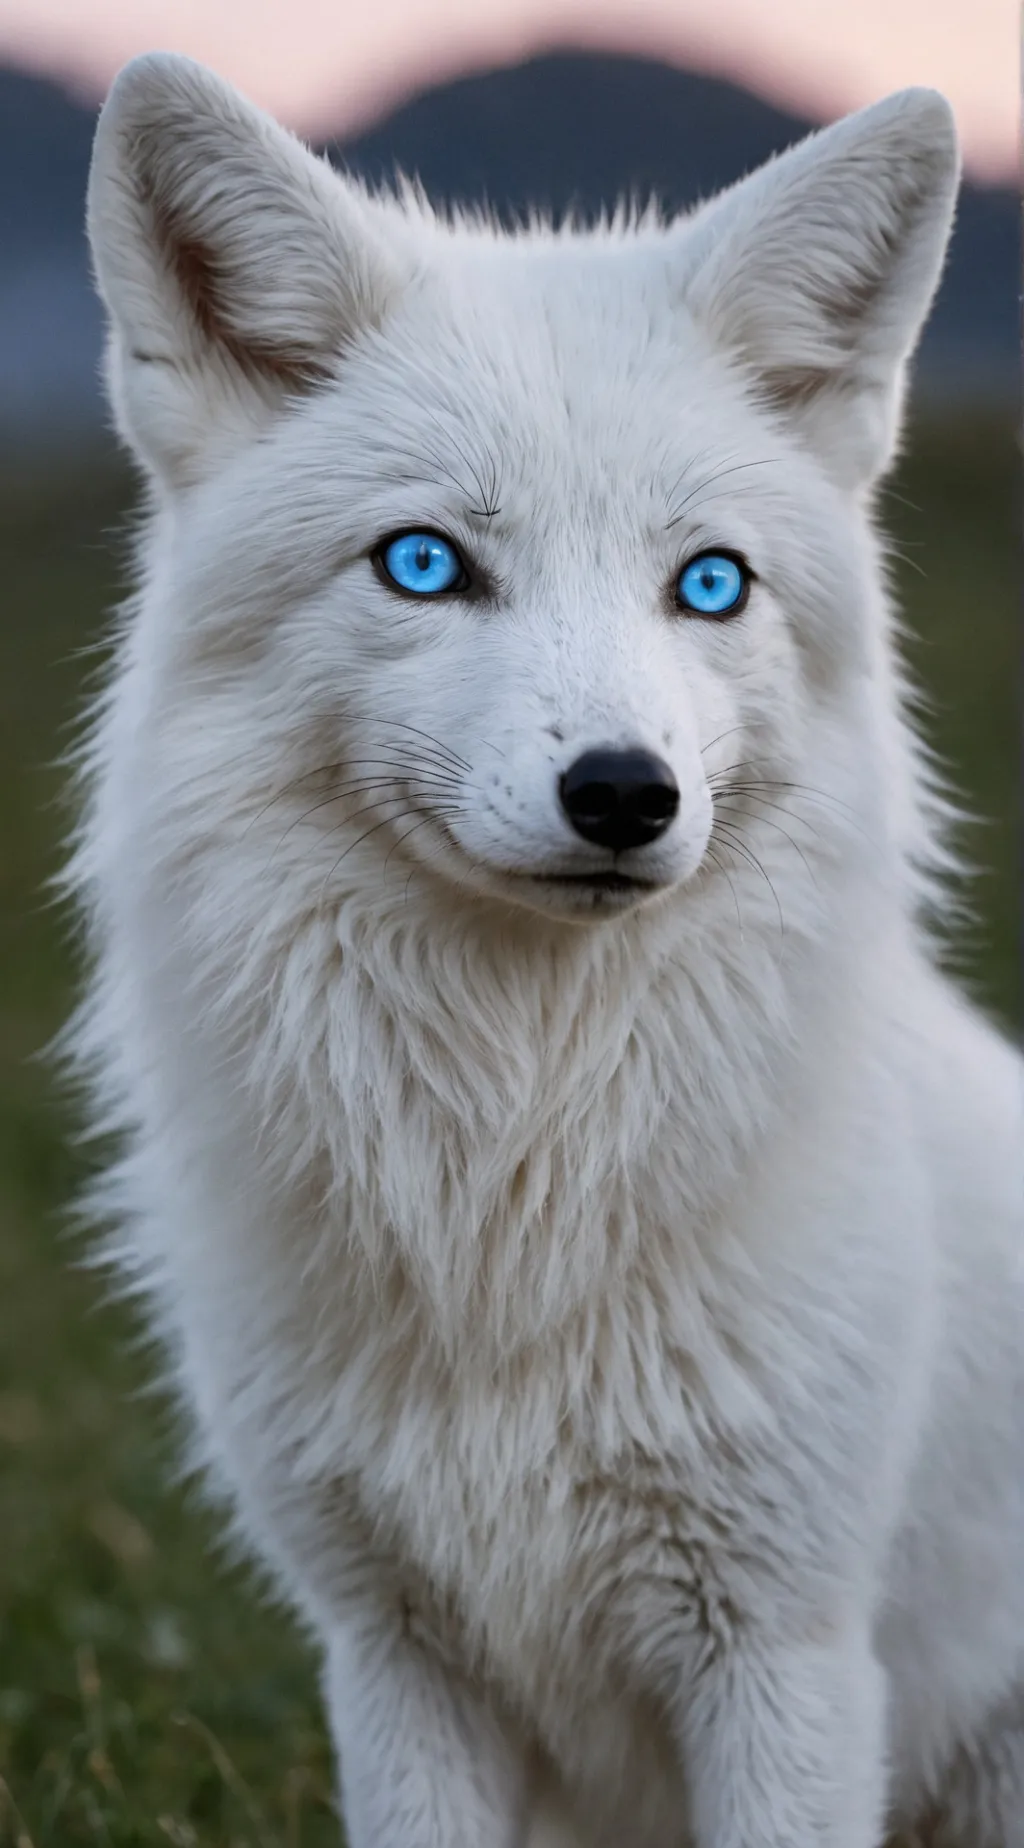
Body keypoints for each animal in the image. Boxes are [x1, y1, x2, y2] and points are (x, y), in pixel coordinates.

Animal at [69, 51, 1022, 1847]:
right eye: (425, 564)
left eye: (707, 584)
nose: (625, 793)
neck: (516, 1180)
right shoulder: (392, 1656)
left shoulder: (786, 1649)